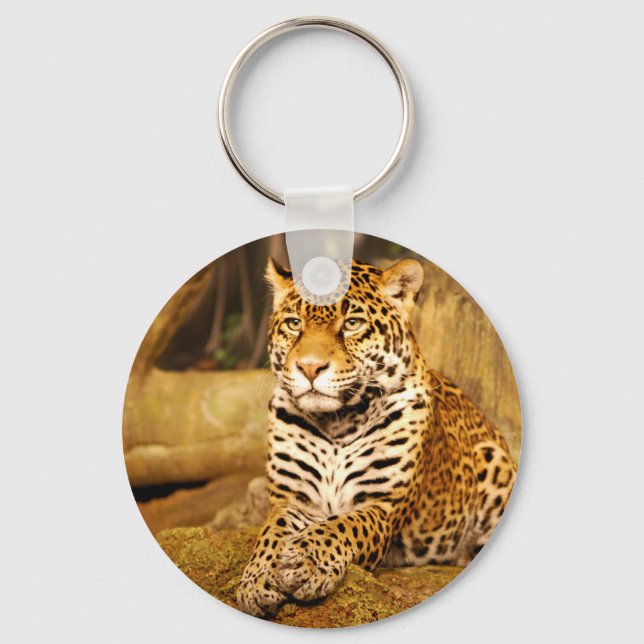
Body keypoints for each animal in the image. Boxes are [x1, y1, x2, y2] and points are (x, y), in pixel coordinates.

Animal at [236, 257, 517, 618]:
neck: (337, 423)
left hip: (494, 462)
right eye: (294, 323)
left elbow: (340, 526)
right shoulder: (292, 499)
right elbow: (270, 533)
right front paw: (257, 579)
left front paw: (306, 563)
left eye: (353, 323)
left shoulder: (382, 506)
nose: (310, 368)